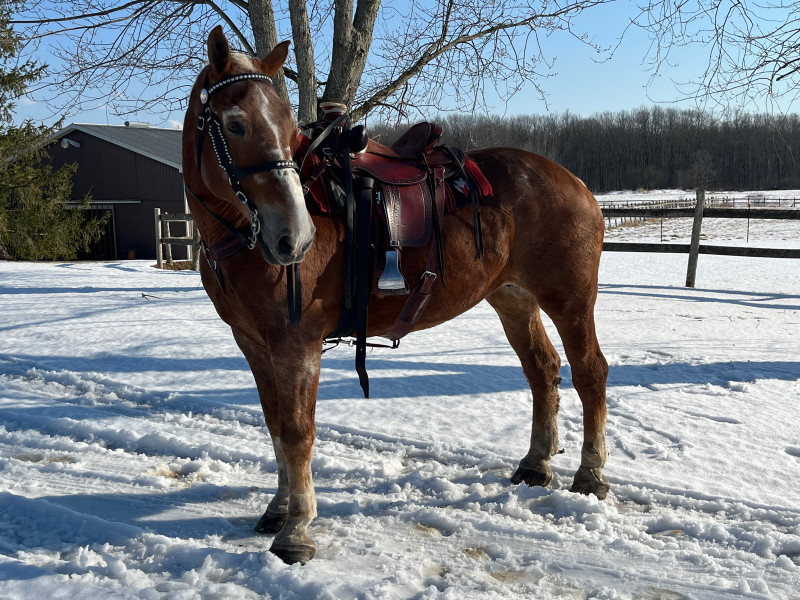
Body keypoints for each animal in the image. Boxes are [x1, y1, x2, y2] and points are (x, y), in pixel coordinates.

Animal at [182, 26, 609, 565]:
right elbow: (276, 424)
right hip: (513, 299)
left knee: (590, 373)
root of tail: (572, 180)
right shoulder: (254, 345)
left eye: (285, 123)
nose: (294, 238)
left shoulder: (296, 345)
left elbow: (298, 431)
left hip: (570, 301)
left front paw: (297, 530)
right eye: (235, 124)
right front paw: (277, 510)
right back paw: (536, 464)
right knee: (542, 370)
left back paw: (591, 474)